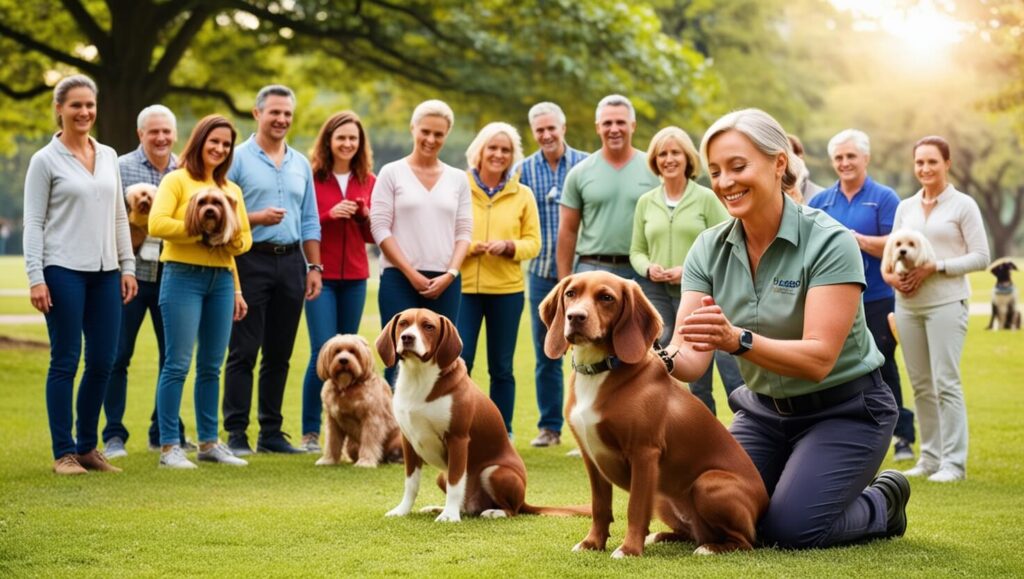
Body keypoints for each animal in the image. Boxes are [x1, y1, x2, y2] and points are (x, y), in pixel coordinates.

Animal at [315, 332, 403, 467]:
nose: (343, 360)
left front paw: (365, 462)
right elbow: (332, 442)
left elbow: (369, 442)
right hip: (351, 446)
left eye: (353, 351)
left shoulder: (371, 420)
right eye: (337, 351)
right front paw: (328, 460)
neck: (347, 388)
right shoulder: (333, 421)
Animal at [376, 309, 585, 520]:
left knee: (513, 510)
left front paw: (449, 516)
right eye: (403, 323)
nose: (407, 337)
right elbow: (411, 483)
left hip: (494, 471)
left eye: (428, 326)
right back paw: (438, 508)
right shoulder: (408, 441)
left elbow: (455, 482)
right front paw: (402, 510)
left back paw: (492, 512)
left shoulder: (457, 439)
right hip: (441, 476)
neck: (418, 378)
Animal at [540, 272, 765, 557]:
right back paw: (662, 536)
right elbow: (599, 507)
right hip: (662, 496)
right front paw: (592, 543)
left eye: (606, 298)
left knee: (745, 541)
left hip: (707, 482)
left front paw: (628, 550)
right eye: (571, 294)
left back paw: (710, 548)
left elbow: (635, 508)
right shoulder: (590, 456)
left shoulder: (644, 452)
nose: (575, 317)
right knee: (691, 532)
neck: (600, 371)